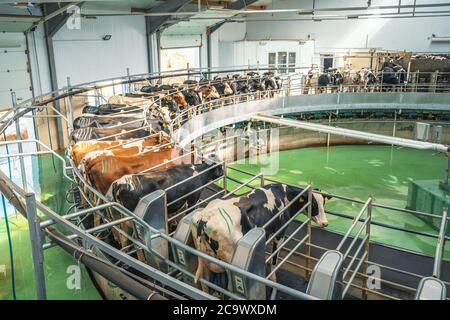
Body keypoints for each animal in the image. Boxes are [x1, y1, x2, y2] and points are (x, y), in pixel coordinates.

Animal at [190, 182, 330, 292]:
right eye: (314, 204)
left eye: (323, 203)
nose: (325, 223)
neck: (283, 194)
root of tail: (205, 217)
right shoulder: (280, 233)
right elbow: (274, 259)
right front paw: (274, 281)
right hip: (229, 256)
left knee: (204, 282)